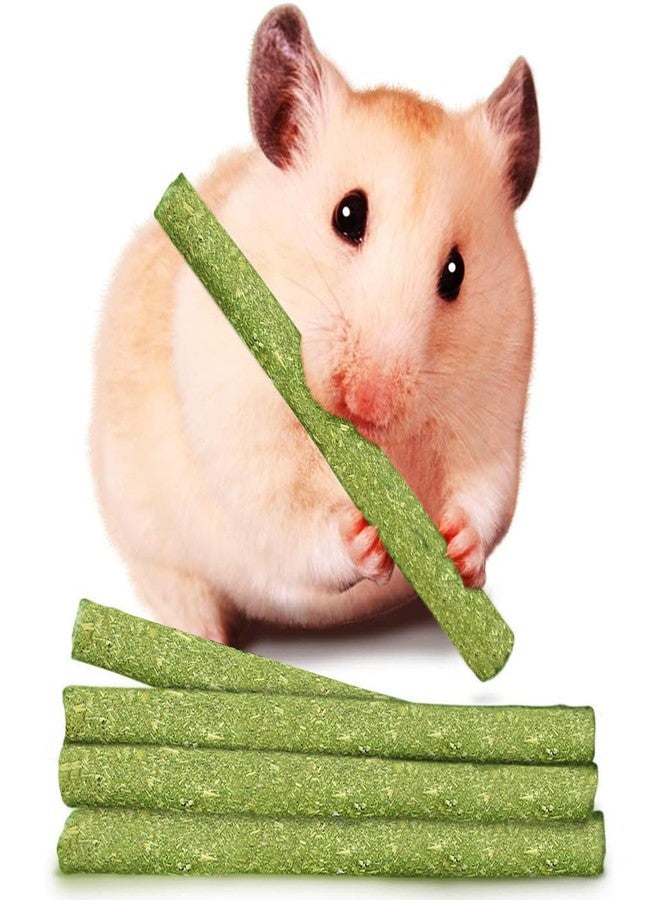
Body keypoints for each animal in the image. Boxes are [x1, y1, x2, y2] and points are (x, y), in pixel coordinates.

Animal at [90, 4, 539, 644]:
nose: (370, 399)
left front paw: (457, 549)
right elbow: (296, 519)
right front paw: (368, 540)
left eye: (455, 271)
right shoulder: (244, 440)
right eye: (347, 214)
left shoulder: (491, 425)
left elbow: (484, 499)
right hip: (154, 553)